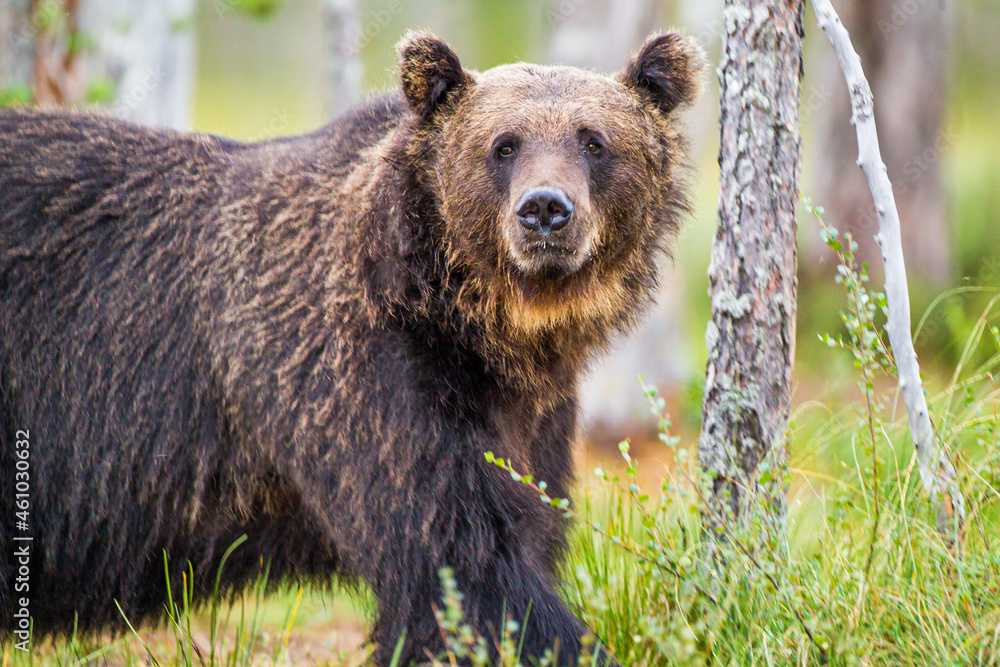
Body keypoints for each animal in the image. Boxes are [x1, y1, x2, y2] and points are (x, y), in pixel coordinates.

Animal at [0, 30, 704, 665]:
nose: (545, 210)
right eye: (503, 145)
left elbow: (524, 529)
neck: (476, 325)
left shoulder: (534, 417)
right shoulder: (361, 378)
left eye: (594, 141)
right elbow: (462, 565)